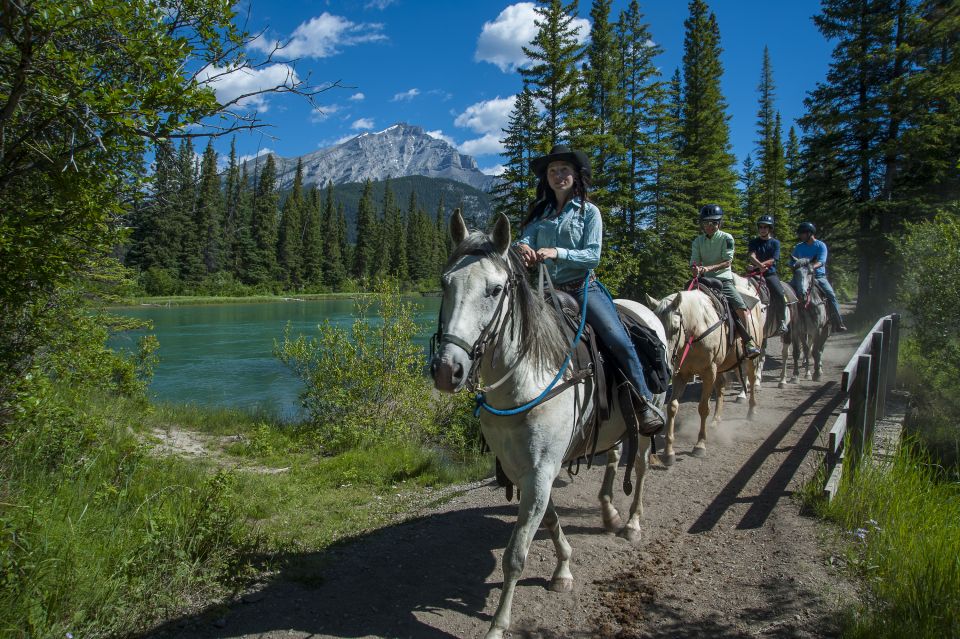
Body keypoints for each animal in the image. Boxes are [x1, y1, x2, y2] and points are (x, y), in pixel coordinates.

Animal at [432, 211, 664, 639]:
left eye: (494, 290)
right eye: (444, 283)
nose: (446, 370)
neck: (527, 381)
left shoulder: (541, 469)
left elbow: (516, 553)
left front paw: (498, 624)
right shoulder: (524, 469)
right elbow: (551, 519)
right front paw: (563, 570)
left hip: (647, 421)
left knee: (639, 468)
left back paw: (632, 524)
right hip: (613, 427)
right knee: (614, 458)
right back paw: (609, 515)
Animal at [644, 276, 764, 464]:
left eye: (675, 329)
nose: (665, 363)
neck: (697, 328)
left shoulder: (708, 372)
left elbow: (703, 407)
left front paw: (699, 445)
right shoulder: (682, 374)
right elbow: (672, 407)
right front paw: (669, 452)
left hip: (749, 360)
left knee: (751, 381)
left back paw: (751, 411)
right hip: (721, 367)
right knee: (721, 386)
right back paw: (715, 421)